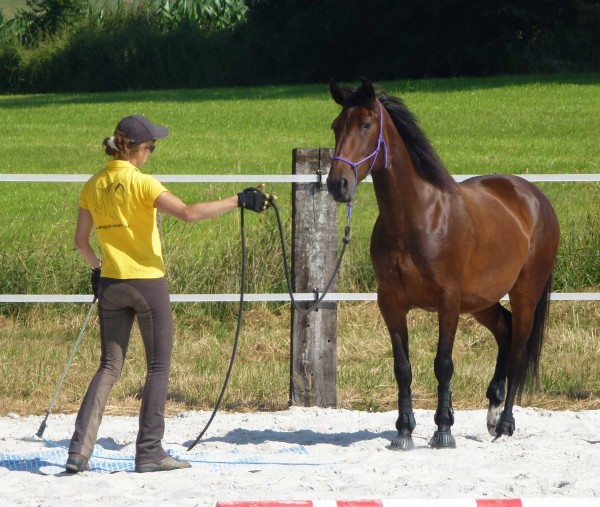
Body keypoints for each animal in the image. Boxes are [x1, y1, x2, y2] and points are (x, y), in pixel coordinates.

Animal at [326, 77, 560, 450]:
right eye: (336, 126)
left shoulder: (448, 300)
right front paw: (404, 431)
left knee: (518, 348)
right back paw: (493, 411)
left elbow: (443, 364)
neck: (418, 217)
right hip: (482, 301)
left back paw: (505, 425)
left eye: (366, 124)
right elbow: (402, 367)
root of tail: (535, 198)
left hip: (525, 293)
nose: (338, 184)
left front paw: (444, 430)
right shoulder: (390, 302)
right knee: (505, 331)